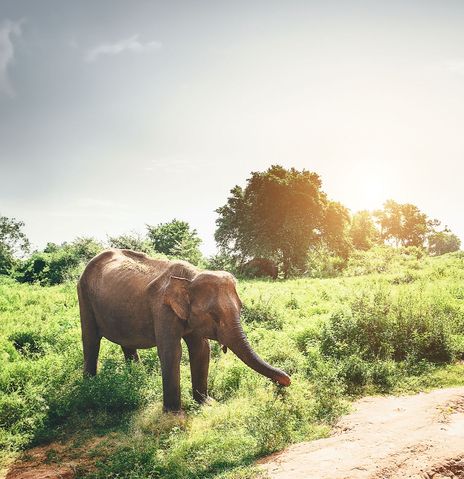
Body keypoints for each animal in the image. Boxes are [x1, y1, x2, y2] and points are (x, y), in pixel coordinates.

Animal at [77, 249, 290, 410]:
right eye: (214, 315)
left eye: (241, 308)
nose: (285, 382)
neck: (191, 277)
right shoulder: (163, 309)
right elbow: (172, 352)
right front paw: (174, 414)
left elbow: (202, 350)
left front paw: (207, 404)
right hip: (83, 293)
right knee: (90, 339)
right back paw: (89, 387)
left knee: (126, 343)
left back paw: (136, 377)